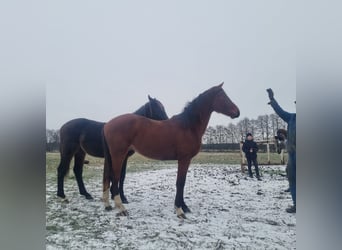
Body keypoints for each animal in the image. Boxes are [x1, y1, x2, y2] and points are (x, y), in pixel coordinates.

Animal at [103, 83, 239, 218]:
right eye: (222, 96)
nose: (237, 112)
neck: (188, 126)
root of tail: (107, 125)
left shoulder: (186, 160)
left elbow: (182, 183)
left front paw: (184, 207)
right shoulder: (184, 159)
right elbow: (180, 183)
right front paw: (179, 210)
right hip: (118, 156)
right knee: (115, 180)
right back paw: (122, 209)